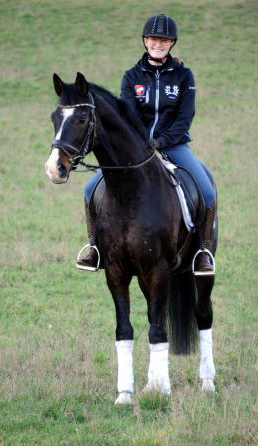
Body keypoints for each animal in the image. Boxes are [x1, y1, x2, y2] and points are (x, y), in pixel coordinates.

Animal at [44, 72, 218, 404]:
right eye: (55, 117)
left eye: (83, 118)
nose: (54, 169)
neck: (130, 190)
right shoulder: (116, 271)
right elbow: (125, 330)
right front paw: (126, 394)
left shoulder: (157, 269)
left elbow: (158, 330)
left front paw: (163, 391)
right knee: (155, 315)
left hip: (200, 270)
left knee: (203, 315)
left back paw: (207, 384)